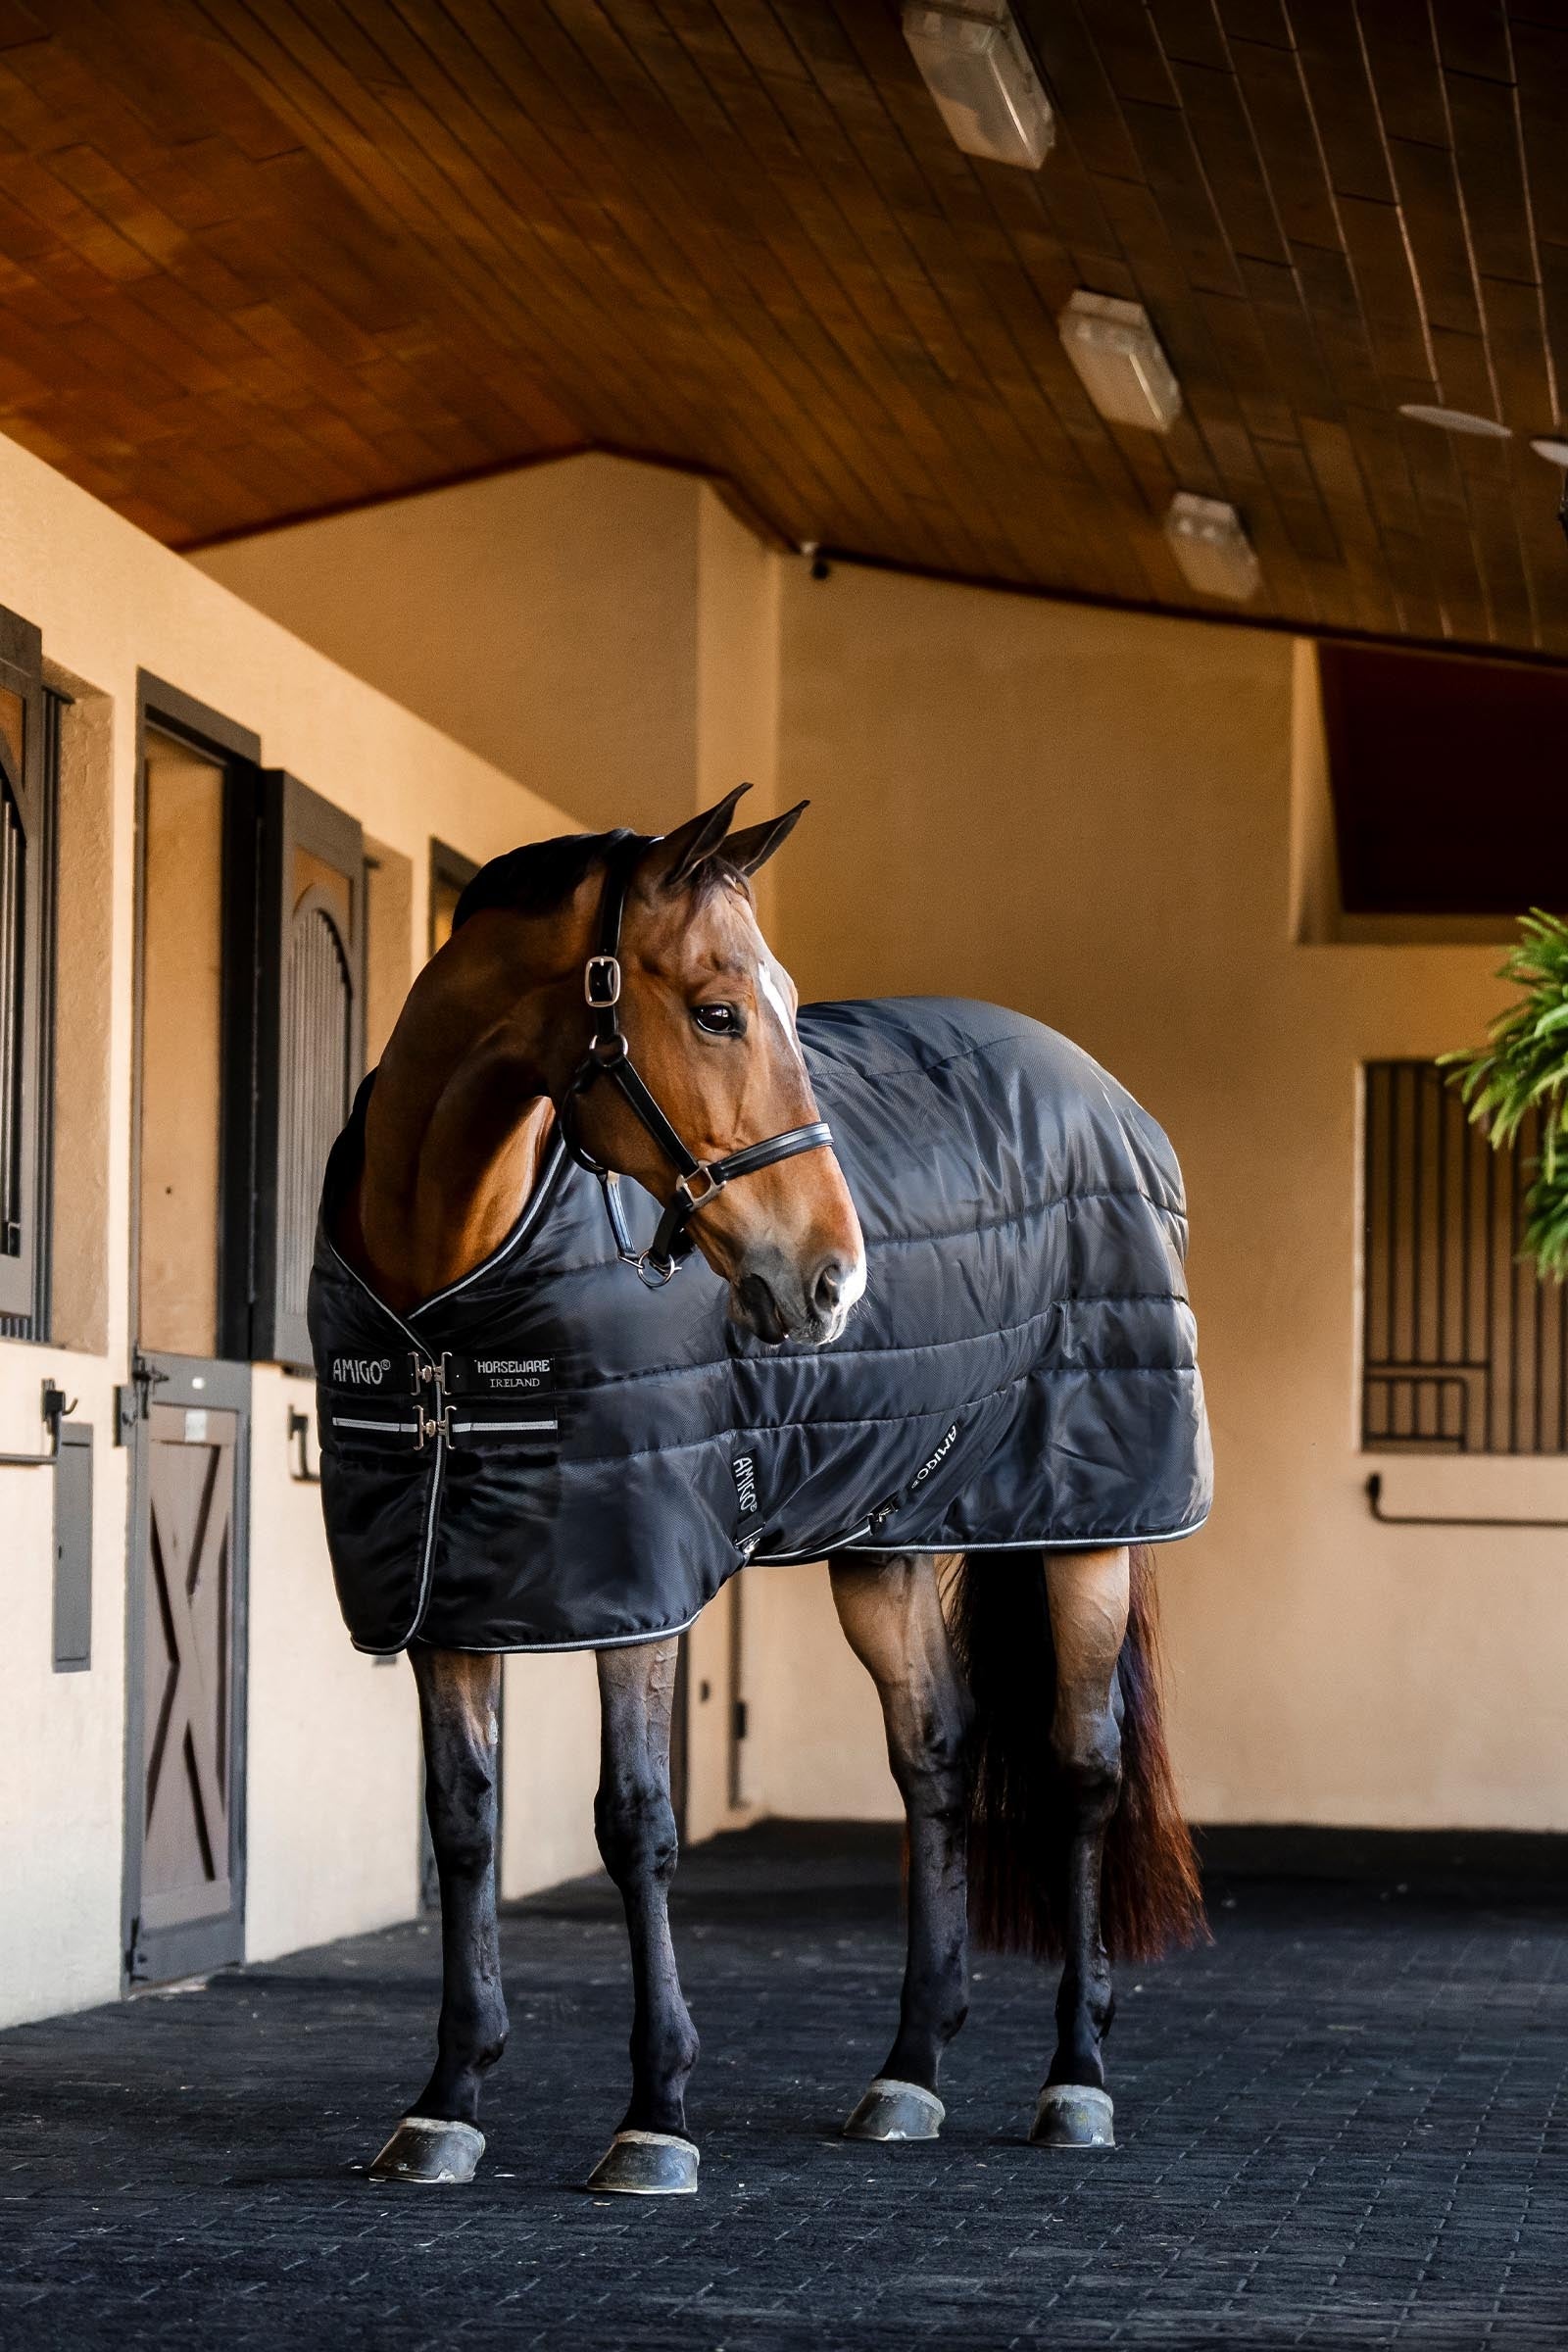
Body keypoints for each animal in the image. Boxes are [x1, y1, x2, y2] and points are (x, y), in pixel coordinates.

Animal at [312, 788, 1207, 2196]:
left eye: (780, 1003)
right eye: (720, 1010)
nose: (832, 1278)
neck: (446, 1305)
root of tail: (1113, 1100)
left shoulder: (637, 1586)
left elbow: (636, 1823)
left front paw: (656, 2116)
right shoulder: (449, 1589)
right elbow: (462, 1824)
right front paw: (445, 2101)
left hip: (1088, 1530)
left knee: (1080, 1770)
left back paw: (1075, 2080)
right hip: (889, 1544)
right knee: (935, 1757)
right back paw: (907, 2072)